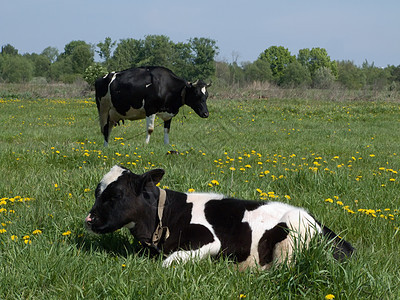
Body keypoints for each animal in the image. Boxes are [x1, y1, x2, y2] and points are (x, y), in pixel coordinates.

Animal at [84, 166, 354, 270]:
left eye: (115, 195)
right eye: (97, 192)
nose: (89, 220)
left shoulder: (210, 241)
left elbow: (168, 262)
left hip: (291, 235)